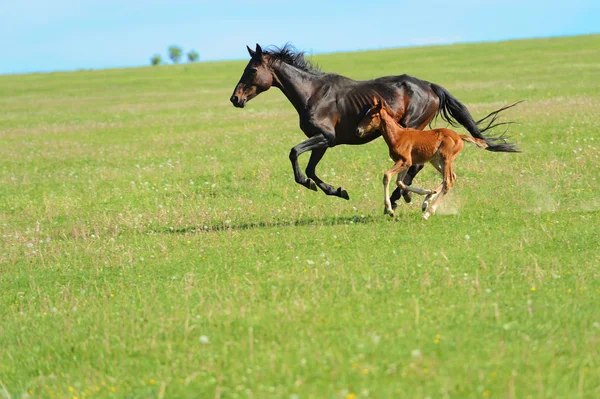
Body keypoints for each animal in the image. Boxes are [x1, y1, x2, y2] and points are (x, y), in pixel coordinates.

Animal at [229, 43, 516, 209]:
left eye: (252, 69)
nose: (235, 99)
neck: (313, 93)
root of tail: (431, 86)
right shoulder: (323, 142)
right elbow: (311, 168)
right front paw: (338, 191)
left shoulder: (324, 137)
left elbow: (295, 154)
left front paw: (311, 185)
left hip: (412, 127)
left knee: (416, 164)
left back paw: (399, 200)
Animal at [356, 97, 516, 222]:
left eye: (372, 115)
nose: (358, 130)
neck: (398, 135)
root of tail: (459, 136)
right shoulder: (405, 163)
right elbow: (400, 182)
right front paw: (426, 192)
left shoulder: (405, 161)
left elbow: (387, 176)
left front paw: (389, 210)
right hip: (436, 161)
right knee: (452, 177)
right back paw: (427, 200)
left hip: (446, 159)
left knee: (448, 181)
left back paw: (428, 213)